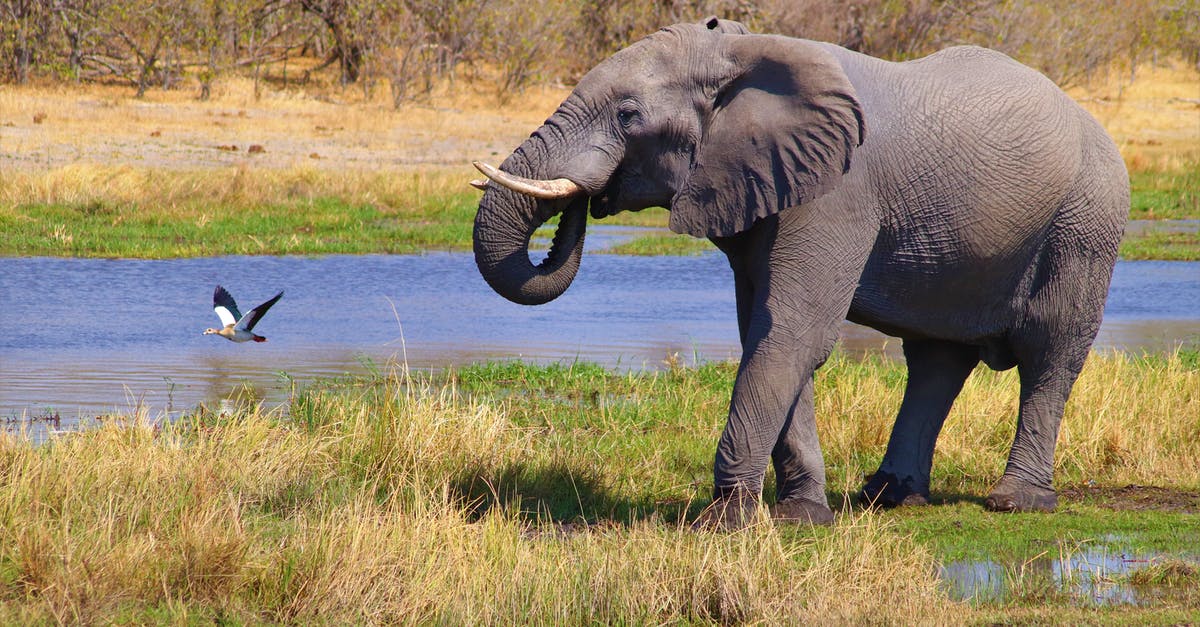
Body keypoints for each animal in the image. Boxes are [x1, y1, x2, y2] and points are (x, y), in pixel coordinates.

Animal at [465, 15, 1123, 526]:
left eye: (628, 115)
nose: (585, 201)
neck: (743, 51)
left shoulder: (838, 193)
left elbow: (792, 331)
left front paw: (726, 522)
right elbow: (767, 328)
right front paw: (800, 515)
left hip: (1085, 225)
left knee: (1050, 352)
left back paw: (1018, 503)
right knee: (937, 359)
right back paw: (888, 497)